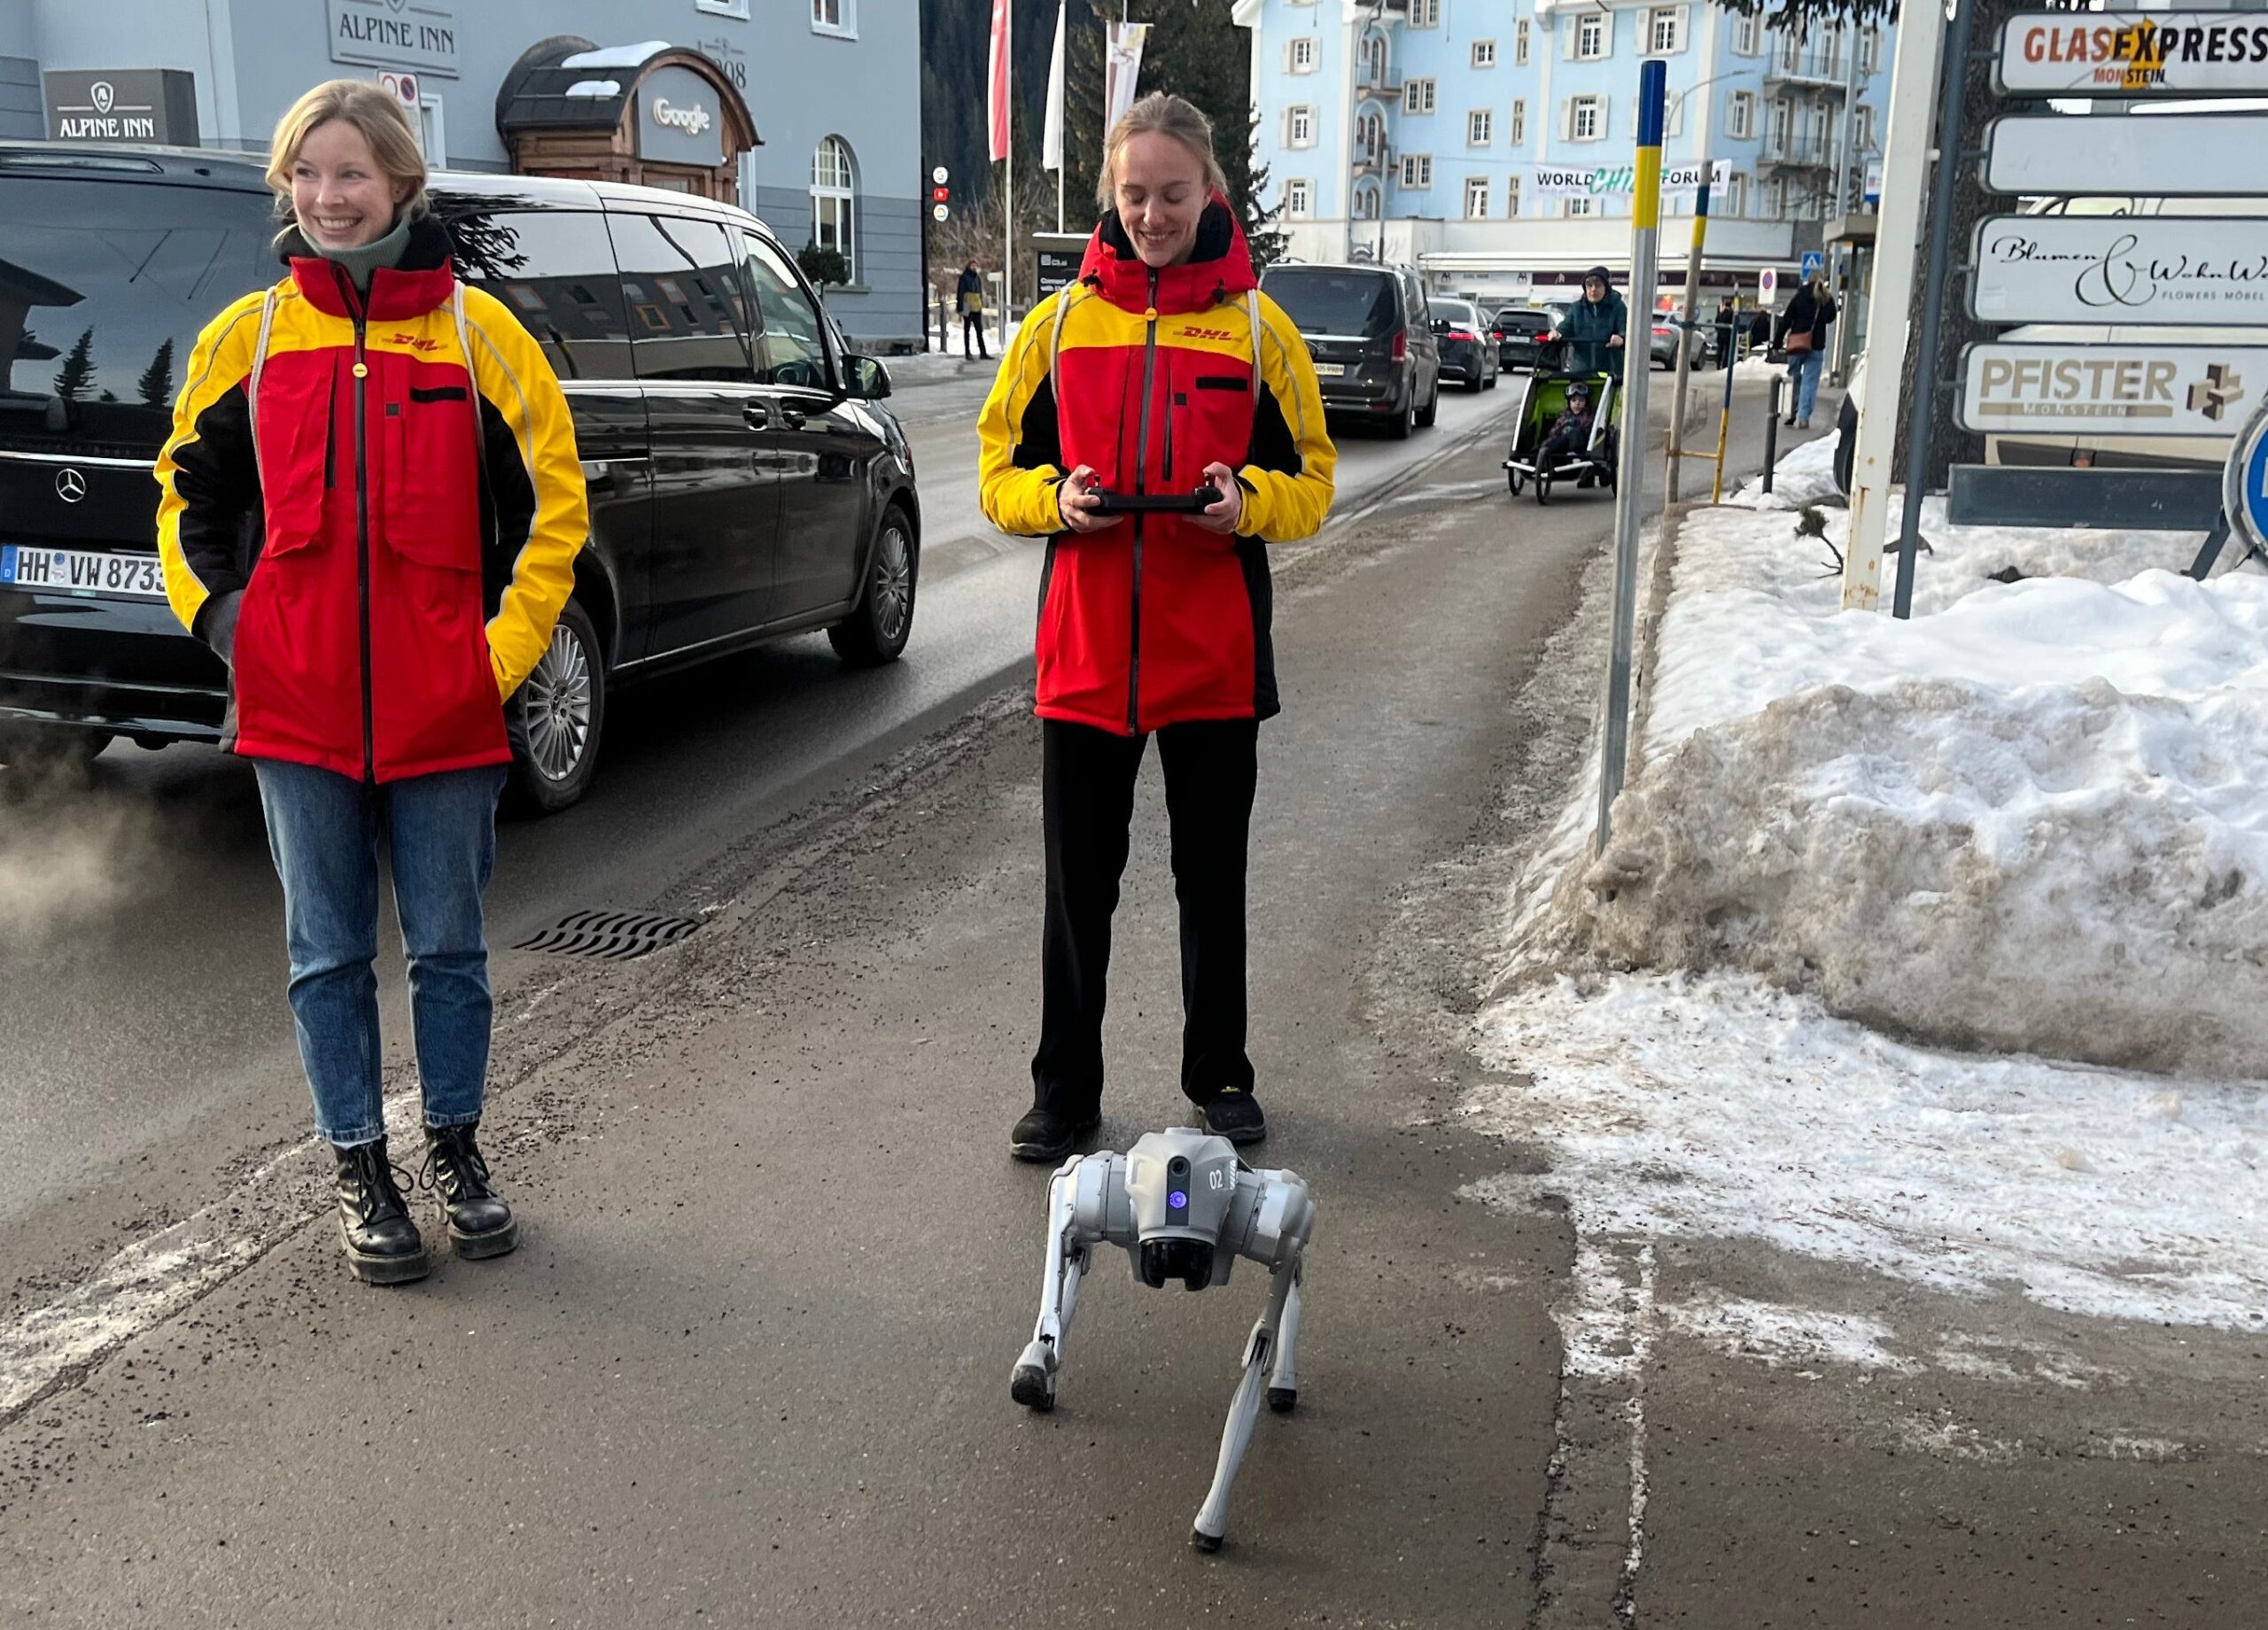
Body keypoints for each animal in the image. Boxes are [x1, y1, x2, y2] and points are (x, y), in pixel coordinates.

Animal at [1011, 1129, 1315, 1550]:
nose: (1170, 1263)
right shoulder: (1098, 1198)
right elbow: (1056, 1291)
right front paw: (1037, 1368)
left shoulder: (1277, 1226)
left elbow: (1259, 1350)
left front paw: (1210, 1522)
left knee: (1291, 1286)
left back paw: (1283, 1382)